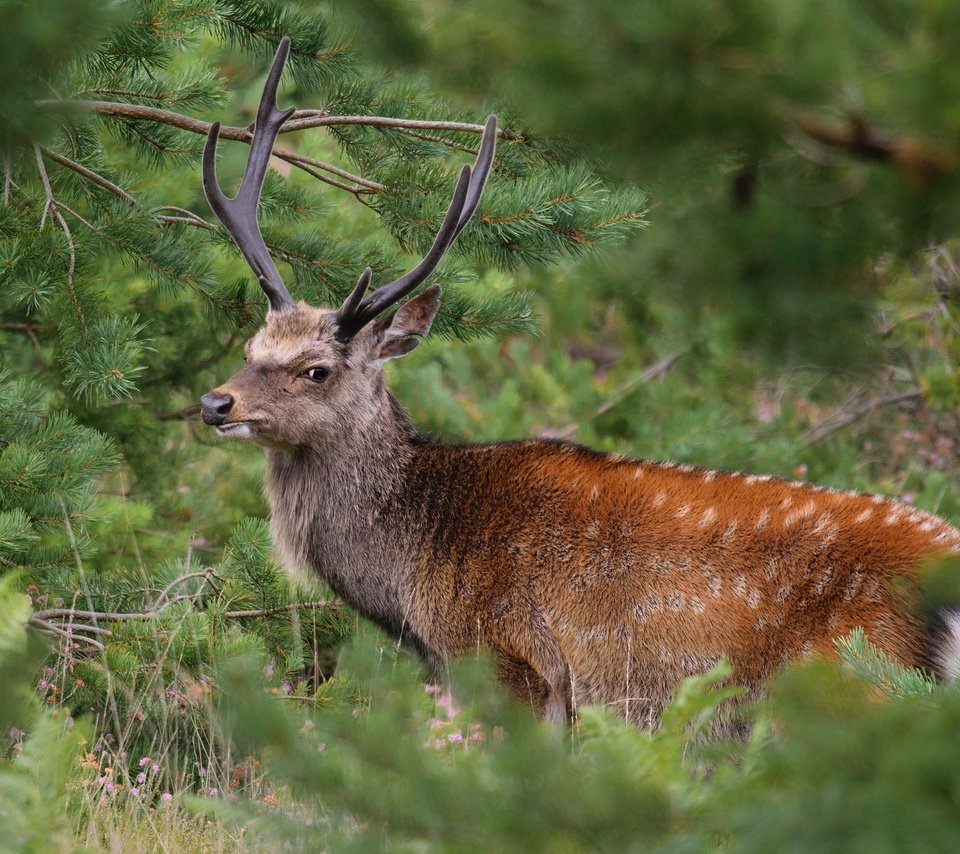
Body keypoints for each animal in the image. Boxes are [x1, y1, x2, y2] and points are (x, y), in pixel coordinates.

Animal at [199, 36, 960, 724]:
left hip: (851, 684)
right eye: (251, 346)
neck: (412, 582)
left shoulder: (517, 662)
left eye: (316, 369)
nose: (215, 402)